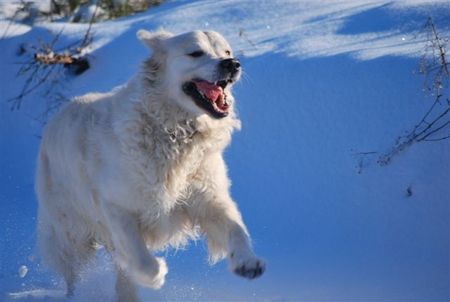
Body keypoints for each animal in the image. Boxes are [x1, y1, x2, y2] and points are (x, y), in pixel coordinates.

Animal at [37, 29, 268, 300]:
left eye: (227, 51)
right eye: (195, 53)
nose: (232, 64)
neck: (173, 132)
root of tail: (55, 117)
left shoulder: (208, 196)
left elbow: (235, 228)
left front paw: (247, 262)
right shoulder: (117, 207)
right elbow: (141, 259)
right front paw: (156, 275)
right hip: (71, 231)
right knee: (73, 270)